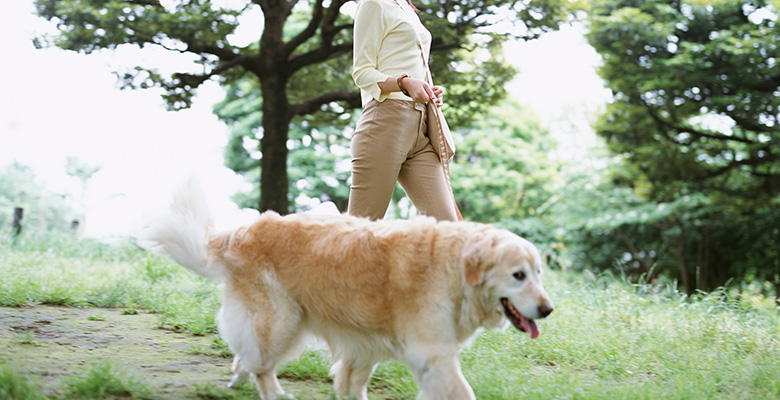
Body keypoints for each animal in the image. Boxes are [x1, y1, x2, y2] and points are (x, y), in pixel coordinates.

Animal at [142, 180, 556, 400]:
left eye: (538, 273)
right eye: (518, 275)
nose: (548, 309)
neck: (453, 266)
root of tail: (242, 230)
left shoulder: (367, 342)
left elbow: (352, 382)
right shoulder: (432, 353)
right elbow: (461, 392)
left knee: (247, 357)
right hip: (281, 321)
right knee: (261, 365)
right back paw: (273, 392)